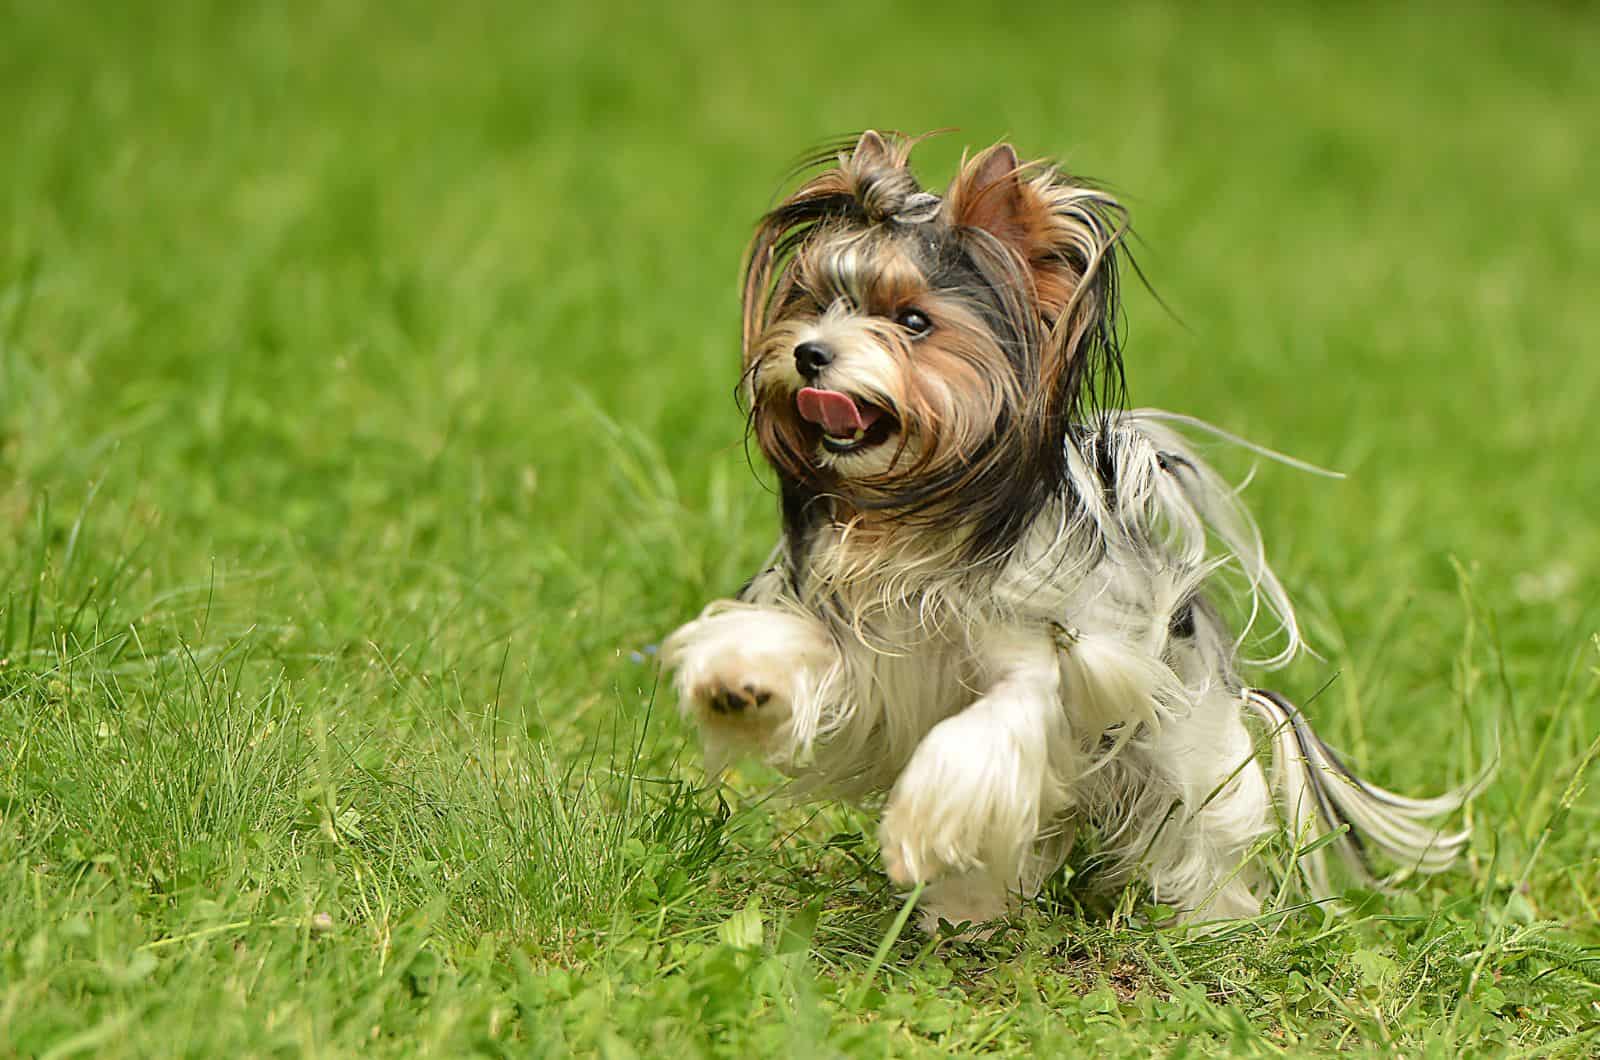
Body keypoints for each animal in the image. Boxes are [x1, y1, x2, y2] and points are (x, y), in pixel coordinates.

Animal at [659, 132, 1472, 941]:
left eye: (913, 322)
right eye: (815, 300)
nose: (809, 354)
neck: (918, 512)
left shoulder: (1037, 667)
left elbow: (980, 732)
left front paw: (916, 830)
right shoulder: (871, 649)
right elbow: (799, 649)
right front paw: (735, 681)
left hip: (1184, 751)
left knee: (1204, 837)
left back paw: (1209, 927)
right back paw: (968, 913)